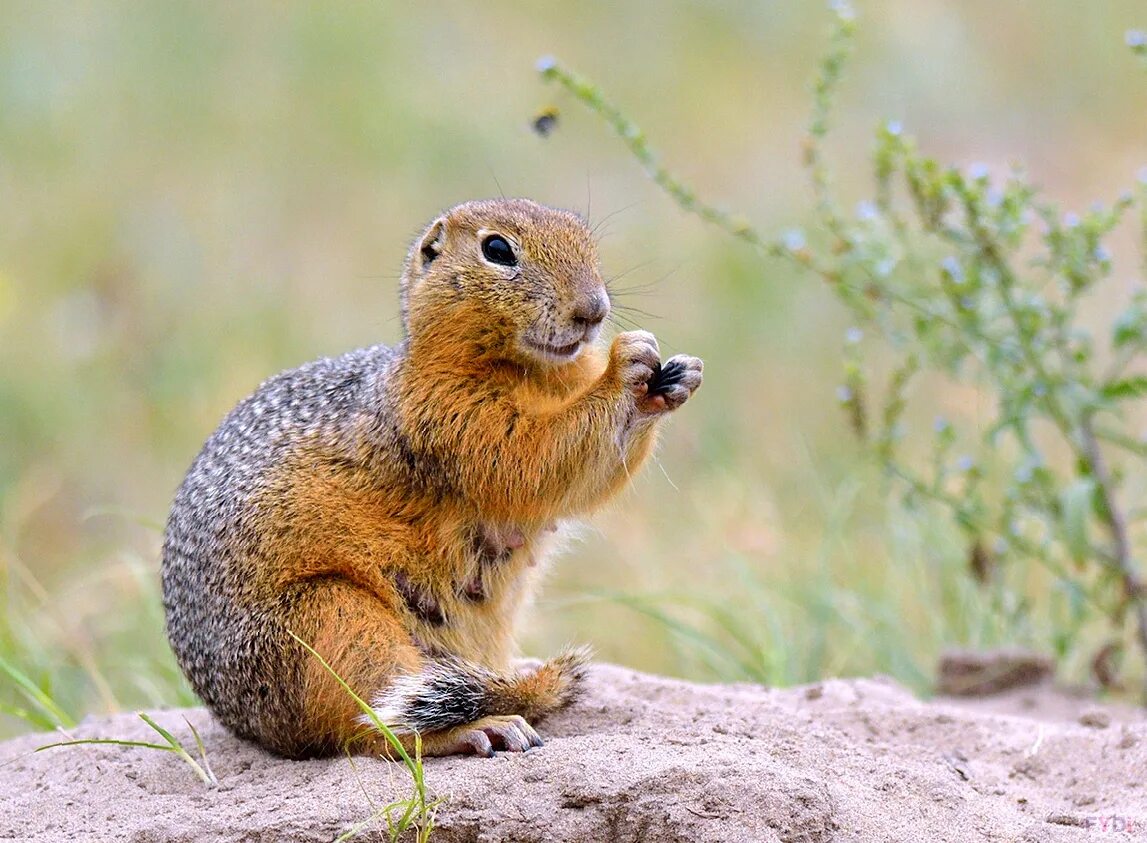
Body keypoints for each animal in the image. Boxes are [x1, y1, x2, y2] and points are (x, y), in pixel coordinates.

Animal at [159, 197, 697, 756]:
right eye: (497, 249)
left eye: (583, 237)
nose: (593, 311)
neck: (536, 372)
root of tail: (247, 726)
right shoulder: (447, 415)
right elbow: (533, 456)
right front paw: (627, 365)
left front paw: (677, 377)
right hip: (334, 623)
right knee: (373, 732)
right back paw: (480, 727)